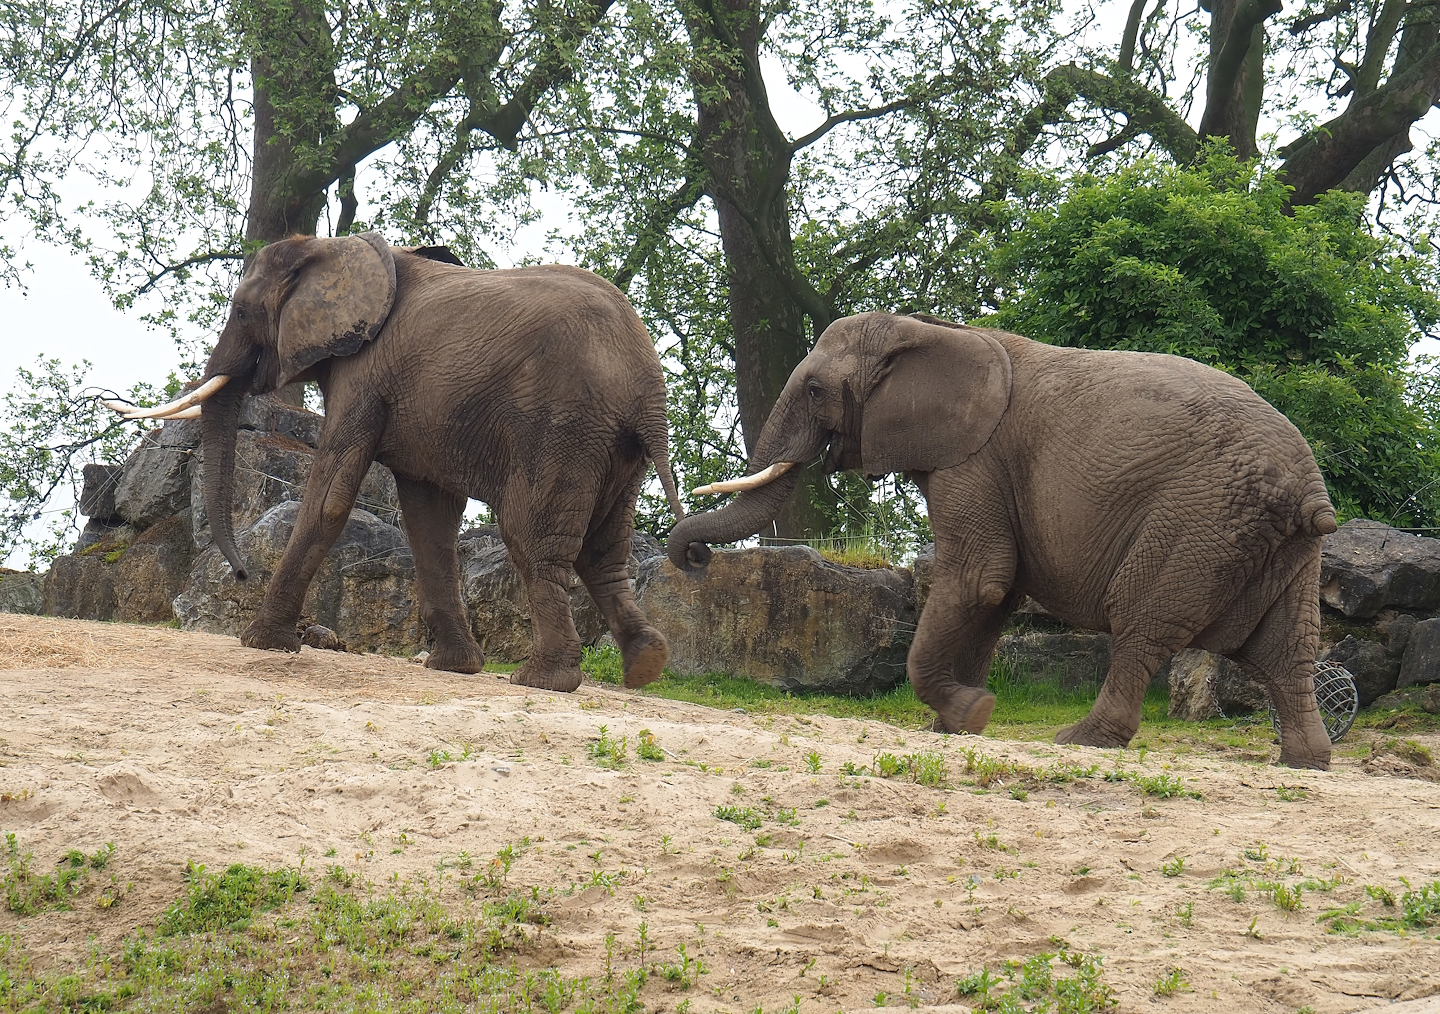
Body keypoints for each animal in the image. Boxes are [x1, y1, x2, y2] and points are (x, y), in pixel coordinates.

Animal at [107, 232, 683, 692]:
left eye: (242, 311)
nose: (243, 573)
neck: (331, 246)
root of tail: (648, 386)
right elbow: (428, 518)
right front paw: (454, 668)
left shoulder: (365, 374)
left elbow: (330, 497)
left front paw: (260, 642)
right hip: (614, 449)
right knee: (603, 552)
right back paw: (646, 665)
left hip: (562, 430)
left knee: (532, 539)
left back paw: (542, 680)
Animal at [667, 312, 1338, 769]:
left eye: (813, 390)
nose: (693, 557)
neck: (930, 330)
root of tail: (1309, 493)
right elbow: (995, 595)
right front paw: (952, 726)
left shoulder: (976, 461)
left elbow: (978, 579)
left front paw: (971, 713)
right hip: (1269, 539)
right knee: (1287, 646)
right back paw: (1305, 761)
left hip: (1201, 517)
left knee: (1141, 619)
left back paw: (1083, 741)